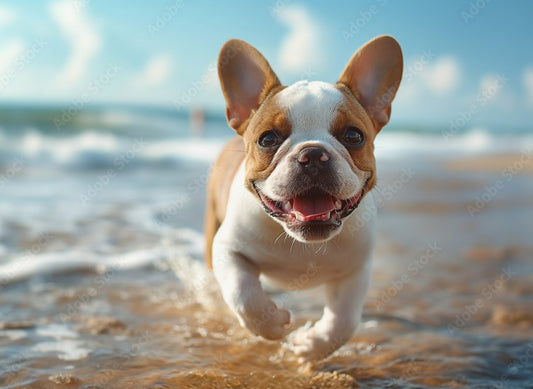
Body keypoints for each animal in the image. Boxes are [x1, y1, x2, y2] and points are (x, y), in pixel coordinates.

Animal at [206, 34, 402, 360]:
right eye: (267, 139)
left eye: (354, 136)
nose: (312, 155)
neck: (301, 244)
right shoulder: (228, 248)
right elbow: (242, 293)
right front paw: (270, 323)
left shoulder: (354, 270)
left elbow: (344, 320)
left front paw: (313, 345)